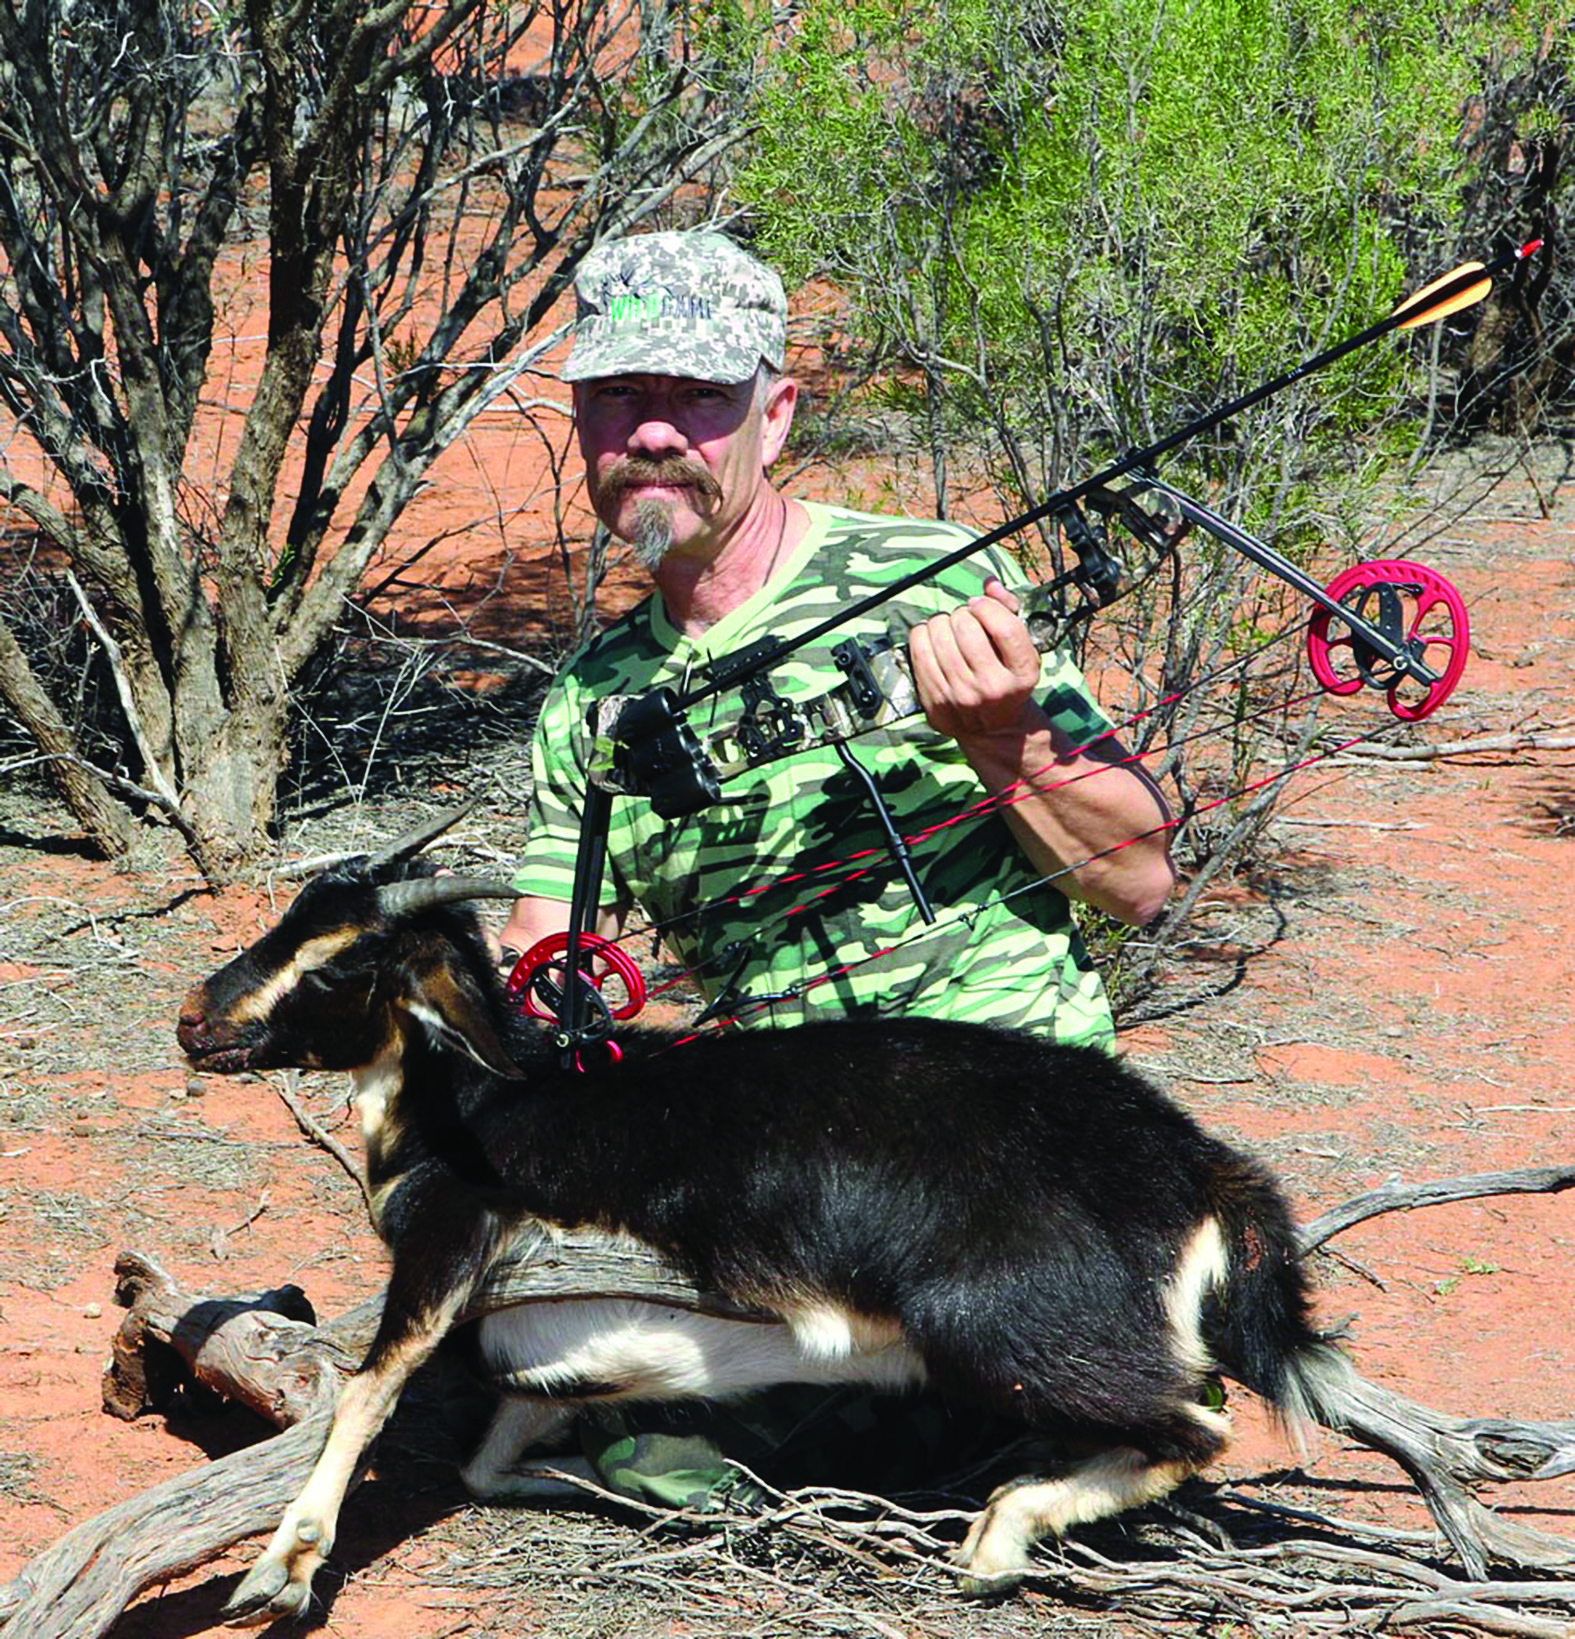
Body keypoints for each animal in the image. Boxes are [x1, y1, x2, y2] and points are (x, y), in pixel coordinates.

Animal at [175, 826, 1350, 1619]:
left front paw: (278, 1571)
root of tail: (1197, 1164)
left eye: (341, 960)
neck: (479, 1101)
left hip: (1000, 1334)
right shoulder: (554, 1361)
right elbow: (492, 1459)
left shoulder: (452, 1247)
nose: (194, 1021)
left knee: (1197, 1426)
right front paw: (617, 1492)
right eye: (287, 921)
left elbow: (366, 1390)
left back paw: (995, 1540)